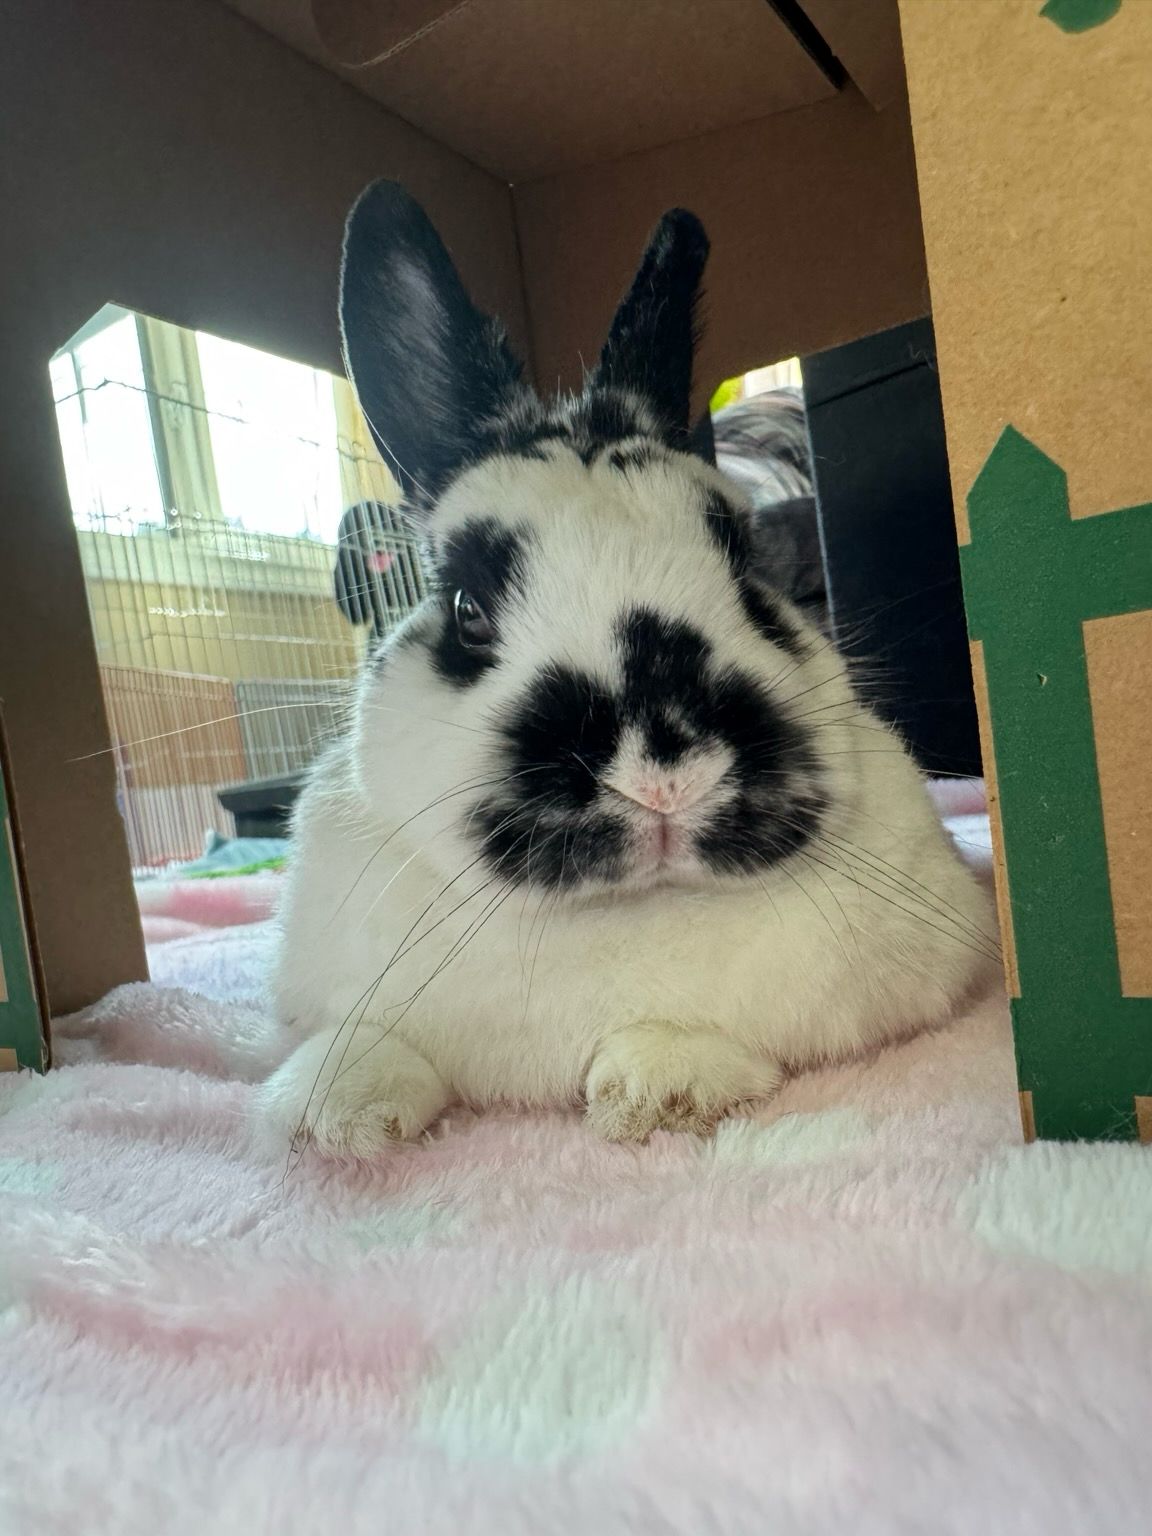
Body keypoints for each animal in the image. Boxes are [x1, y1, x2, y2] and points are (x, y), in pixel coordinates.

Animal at [255, 181, 999, 1159]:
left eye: (745, 571)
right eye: (466, 608)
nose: (662, 773)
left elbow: (689, 1040)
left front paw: (656, 1092)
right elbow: (363, 1039)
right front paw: (336, 1116)